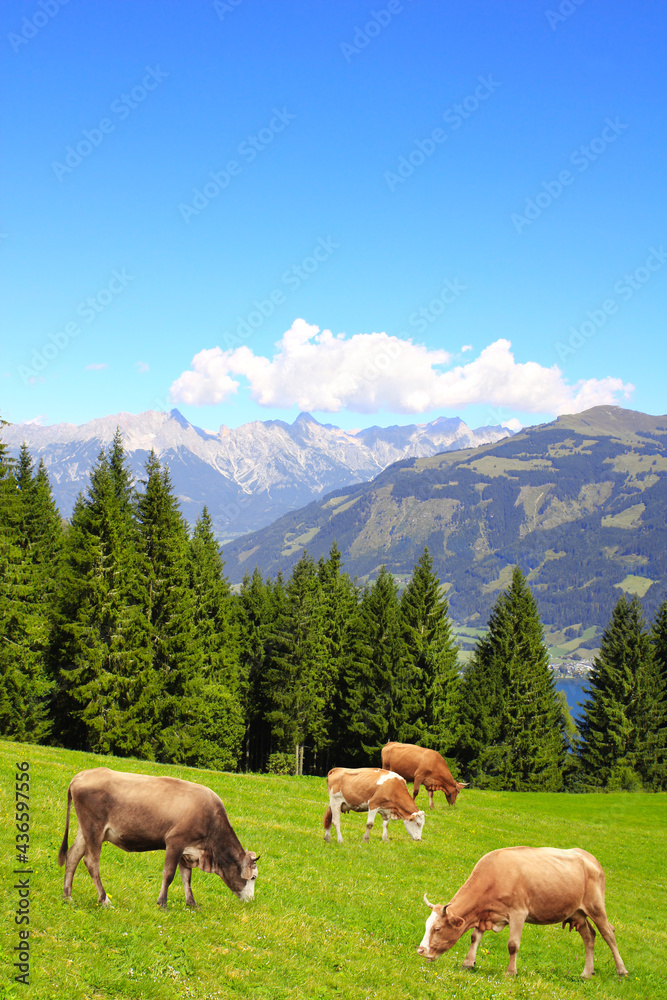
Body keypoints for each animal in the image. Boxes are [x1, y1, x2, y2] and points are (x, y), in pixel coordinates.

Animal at [58, 768, 260, 912]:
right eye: (254, 877)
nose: (251, 900)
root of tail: (81, 776)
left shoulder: (187, 851)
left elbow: (187, 878)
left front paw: (191, 903)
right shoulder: (175, 842)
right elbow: (169, 874)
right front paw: (162, 903)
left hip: (85, 830)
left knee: (73, 856)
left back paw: (68, 896)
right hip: (94, 829)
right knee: (91, 862)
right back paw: (104, 900)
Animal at [420, 844, 628, 976]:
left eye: (437, 928)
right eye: (426, 925)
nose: (421, 951)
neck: (494, 875)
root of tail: (589, 856)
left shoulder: (518, 913)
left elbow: (513, 945)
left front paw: (511, 972)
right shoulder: (485, 913)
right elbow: (474, 937)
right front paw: (468, 963)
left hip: (596, 906)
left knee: (608, 933)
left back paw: (621, 970)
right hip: (577, 912)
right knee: (589, 936)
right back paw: (586, 973)